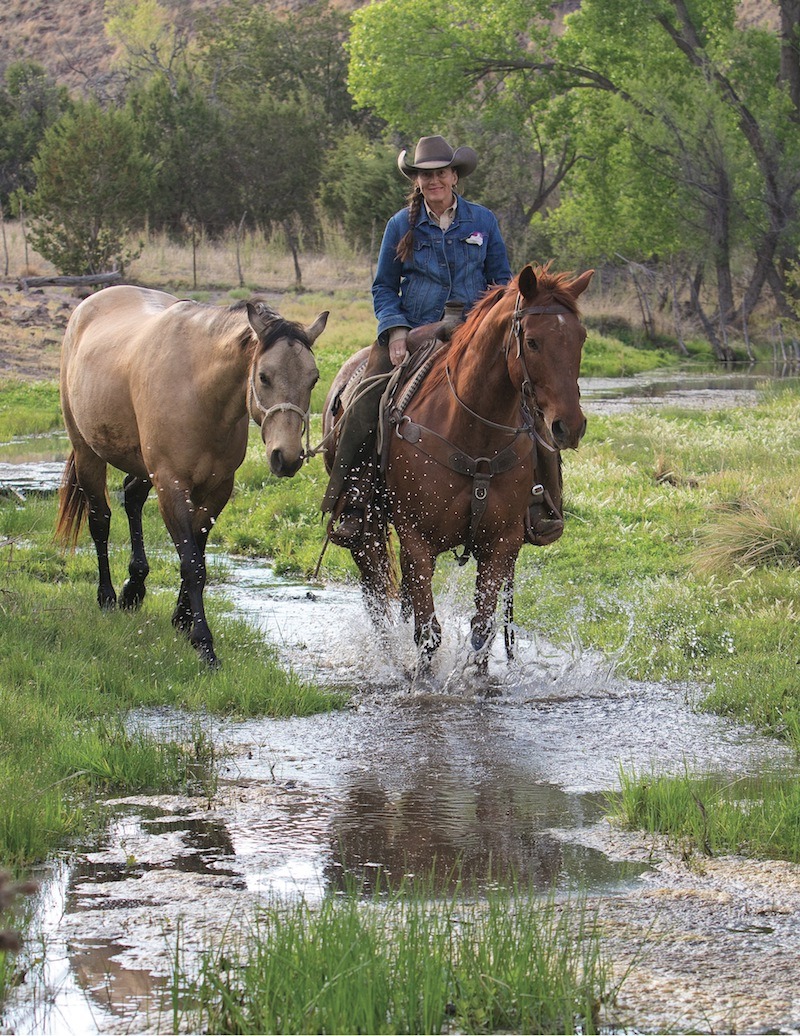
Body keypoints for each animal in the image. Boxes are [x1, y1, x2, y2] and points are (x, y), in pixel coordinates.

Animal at [57, 284, 327, 667]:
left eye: (313, 378)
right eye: (264, 376)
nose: (286, 457)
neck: (199, 391)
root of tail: (86, 307)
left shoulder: (216, 489)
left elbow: (197, 553)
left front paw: (182, 619)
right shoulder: (172, 485)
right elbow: (192, 564)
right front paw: (204, 644)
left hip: (142, 467)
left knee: (132, 499)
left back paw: (134, 588)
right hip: (88, 453)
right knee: (100, 520)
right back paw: (107, 597)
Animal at [323, 263, 592, 687]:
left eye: (580, 339)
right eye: (532, 342)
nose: (570, 426)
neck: (473, 430)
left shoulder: (502, 543)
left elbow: (482, 628)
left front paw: (478, 682)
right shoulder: (416, 539)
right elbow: (428, 630)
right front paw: (423, 682)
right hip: (366, 532)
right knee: (378, 599)